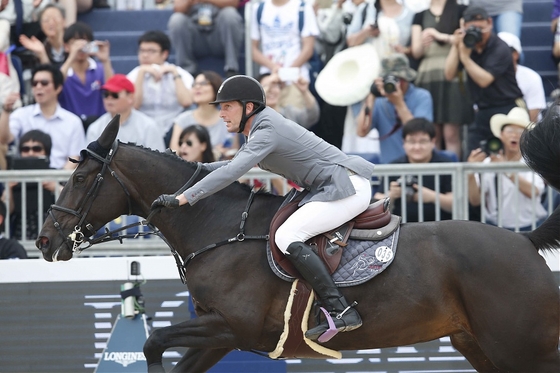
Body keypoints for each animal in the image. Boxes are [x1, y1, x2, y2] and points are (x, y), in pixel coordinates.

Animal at [37, 117, 556, 370]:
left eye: (80, 179)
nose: (44, 240)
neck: (218, 229)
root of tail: (525, 242)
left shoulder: (233, 327)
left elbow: (153, 342)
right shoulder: (219, 335)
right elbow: (162, 350)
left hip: (520, 348)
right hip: (480, 345)